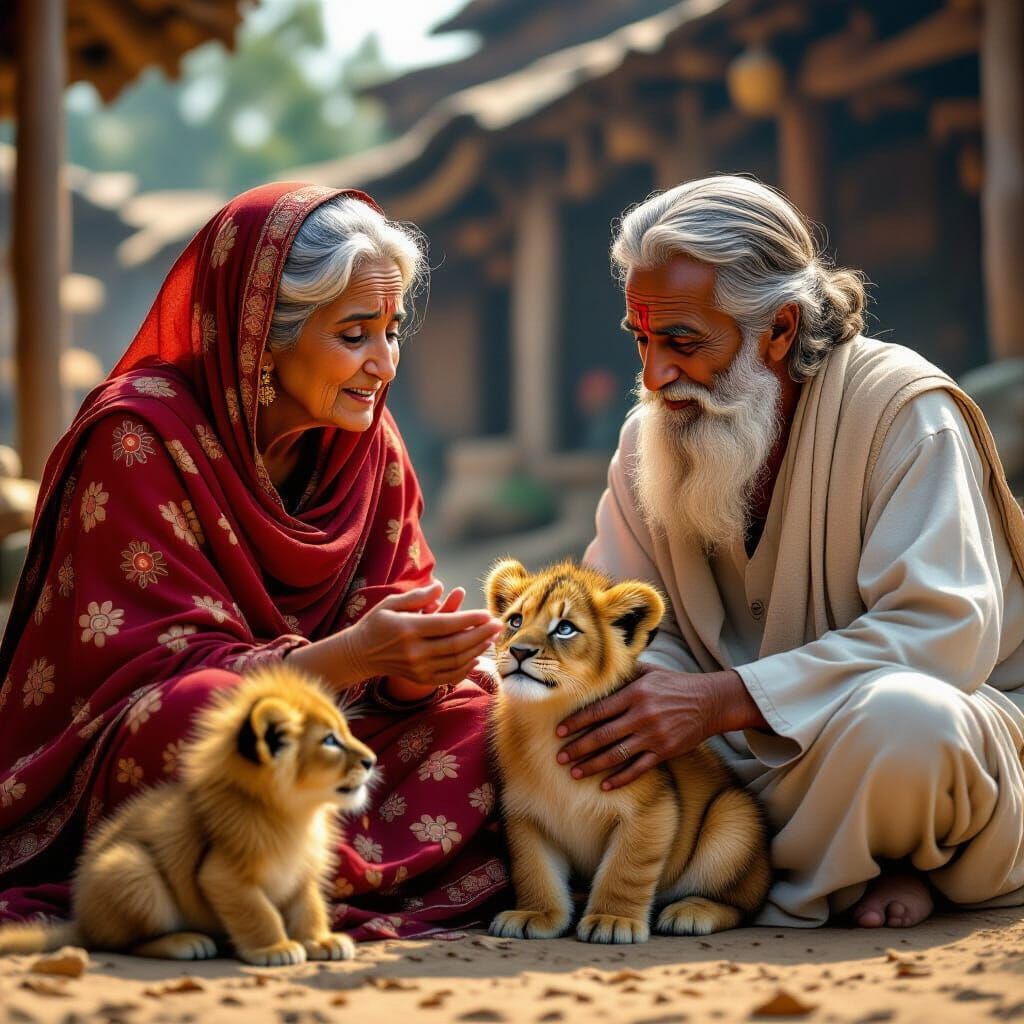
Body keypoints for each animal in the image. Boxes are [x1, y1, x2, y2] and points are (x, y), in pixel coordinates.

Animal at [0, 664, 376, 966]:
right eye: (330, 741)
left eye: (346, 732)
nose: (371, 761)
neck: (299, 814)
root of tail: (83, 920)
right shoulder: (221, 874)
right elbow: (258, 912)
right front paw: (275, 949)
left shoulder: (301, 874)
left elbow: (310, 908)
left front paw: (321, 942)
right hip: (130, 868)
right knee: (122, 944)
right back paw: (187, 943)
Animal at [485, 559, 771, 943]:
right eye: (515, 621)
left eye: (564, 628)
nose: (518, 651)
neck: (546, 720)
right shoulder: (524, 814)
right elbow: (534, 870)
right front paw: (535, 914)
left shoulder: (652, 808)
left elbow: (625, 870)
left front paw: (611, 920)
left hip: (735, 819)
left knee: (743, 906)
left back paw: (690, 912)